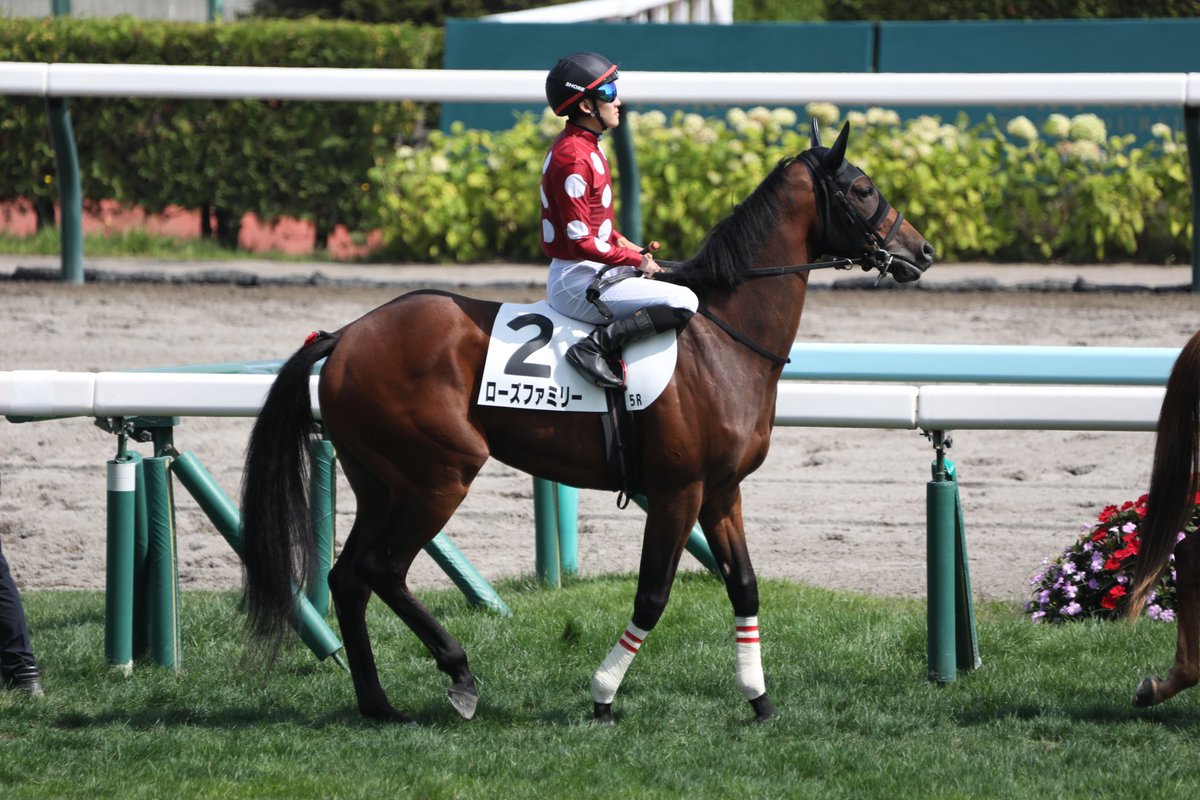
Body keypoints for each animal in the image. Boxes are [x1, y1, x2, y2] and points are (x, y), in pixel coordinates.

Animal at [239, 121, 936, 724]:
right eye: (862, 188)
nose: (922, 250)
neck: (723, 337)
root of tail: (347, 335)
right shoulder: (678, 492)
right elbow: (652, 595)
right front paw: (603, 695)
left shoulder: (722, 491)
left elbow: (744, 587)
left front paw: (759, 700)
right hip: (440, 474)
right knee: (382, 568)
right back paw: (459, 675)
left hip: (381, 482)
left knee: (349, 577)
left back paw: (378, 705)